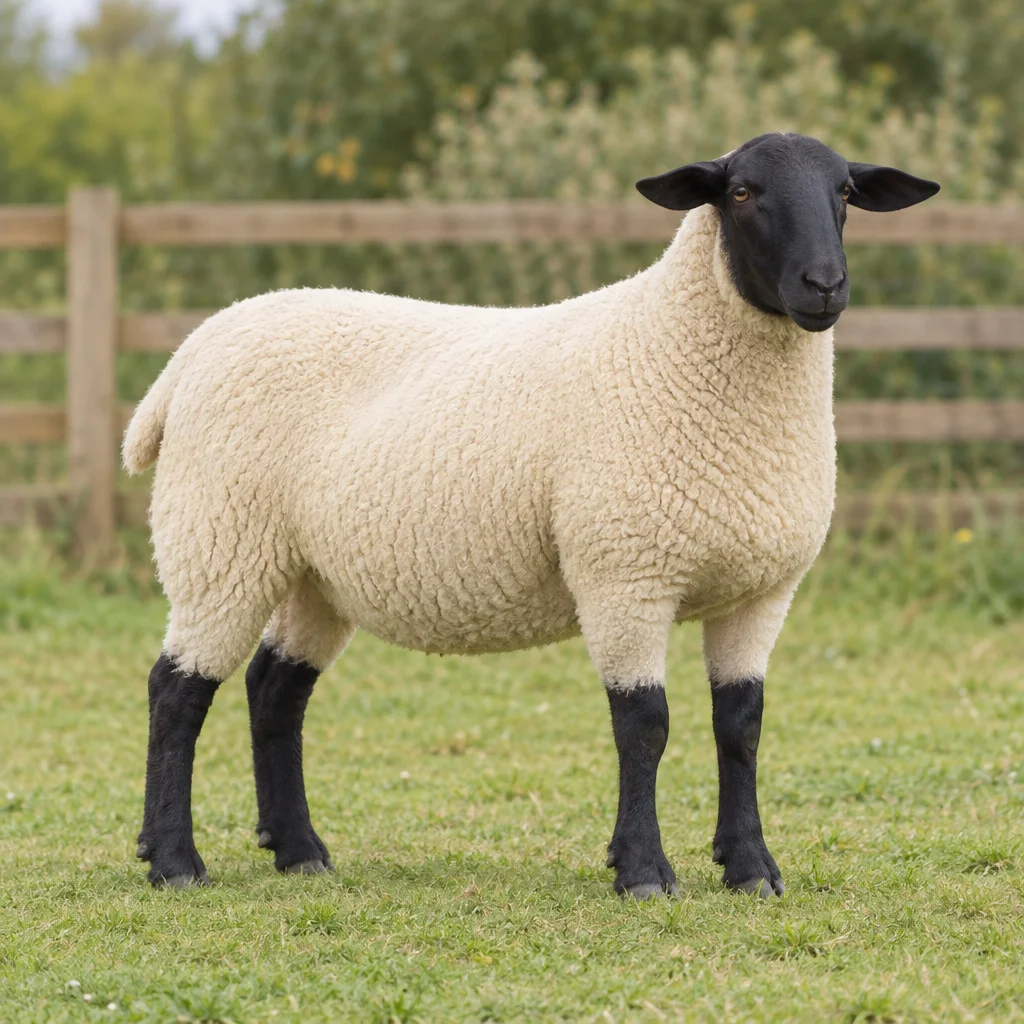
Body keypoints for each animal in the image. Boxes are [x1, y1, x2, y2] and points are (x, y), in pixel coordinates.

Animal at [124, 133, 939, 897]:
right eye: (741, 192)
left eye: (845, 192)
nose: (824, 285)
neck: (673, 344)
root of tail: (192, 351)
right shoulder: (623, 573)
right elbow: (644, 725)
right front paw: (643, 870)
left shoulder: (762, 590)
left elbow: (740, 727)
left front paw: (750, 868)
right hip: (220, 538)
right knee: (177, 690)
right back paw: (174, 861)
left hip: (312, 572)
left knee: (275, 690)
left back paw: (299, 852)